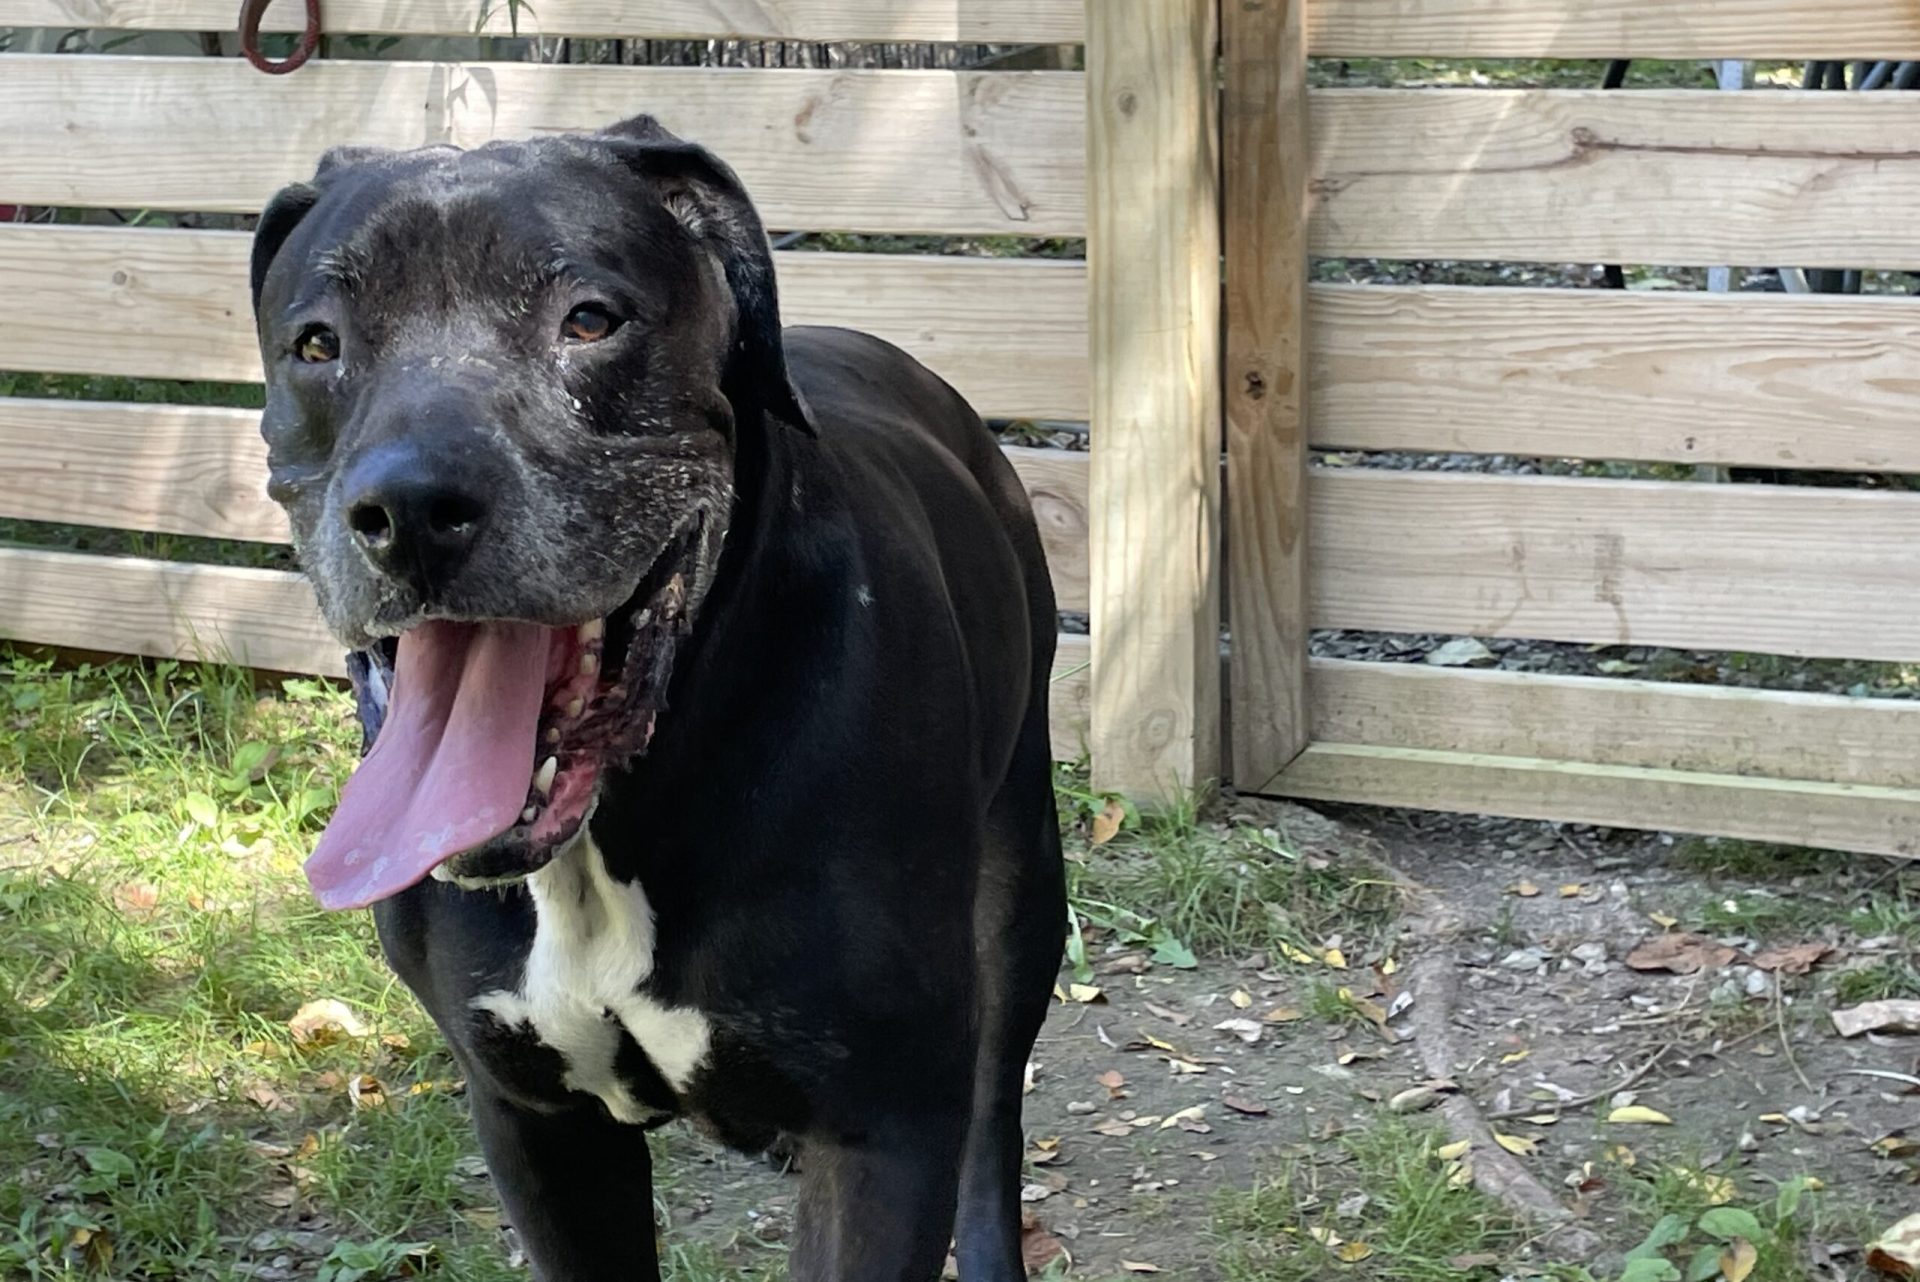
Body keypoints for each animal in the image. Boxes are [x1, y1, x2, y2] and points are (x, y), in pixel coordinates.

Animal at [249, 115, 1067, 1274]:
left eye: (590, 320)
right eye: (317, 343)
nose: (407, 509)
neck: (605, 835)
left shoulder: (887, 1129)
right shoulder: (536, 1128)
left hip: (1020, 887)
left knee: (996, 1111)